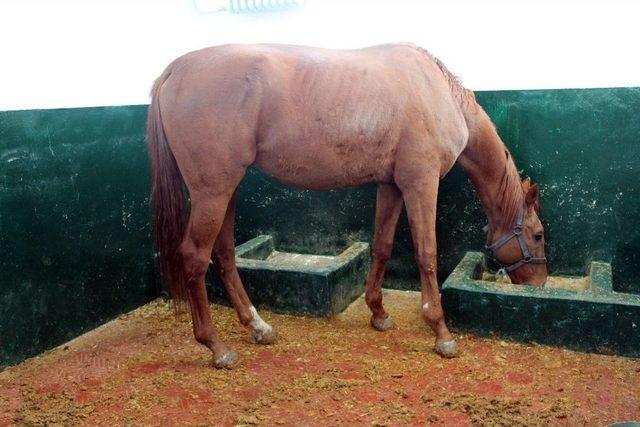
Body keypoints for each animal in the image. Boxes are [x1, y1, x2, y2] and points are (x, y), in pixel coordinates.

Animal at [148, 45, 548, 370]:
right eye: (539, 235)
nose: (541, 283)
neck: (436, 91)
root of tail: (174, 70)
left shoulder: (391, 186)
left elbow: (383, 246)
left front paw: (379, 313)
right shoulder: (421, 184)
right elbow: (427, 254)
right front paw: (441, 332)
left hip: (226, 190)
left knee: (225, 255)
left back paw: (259, 327)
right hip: (212, 192)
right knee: (195, 258)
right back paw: (217, 349)